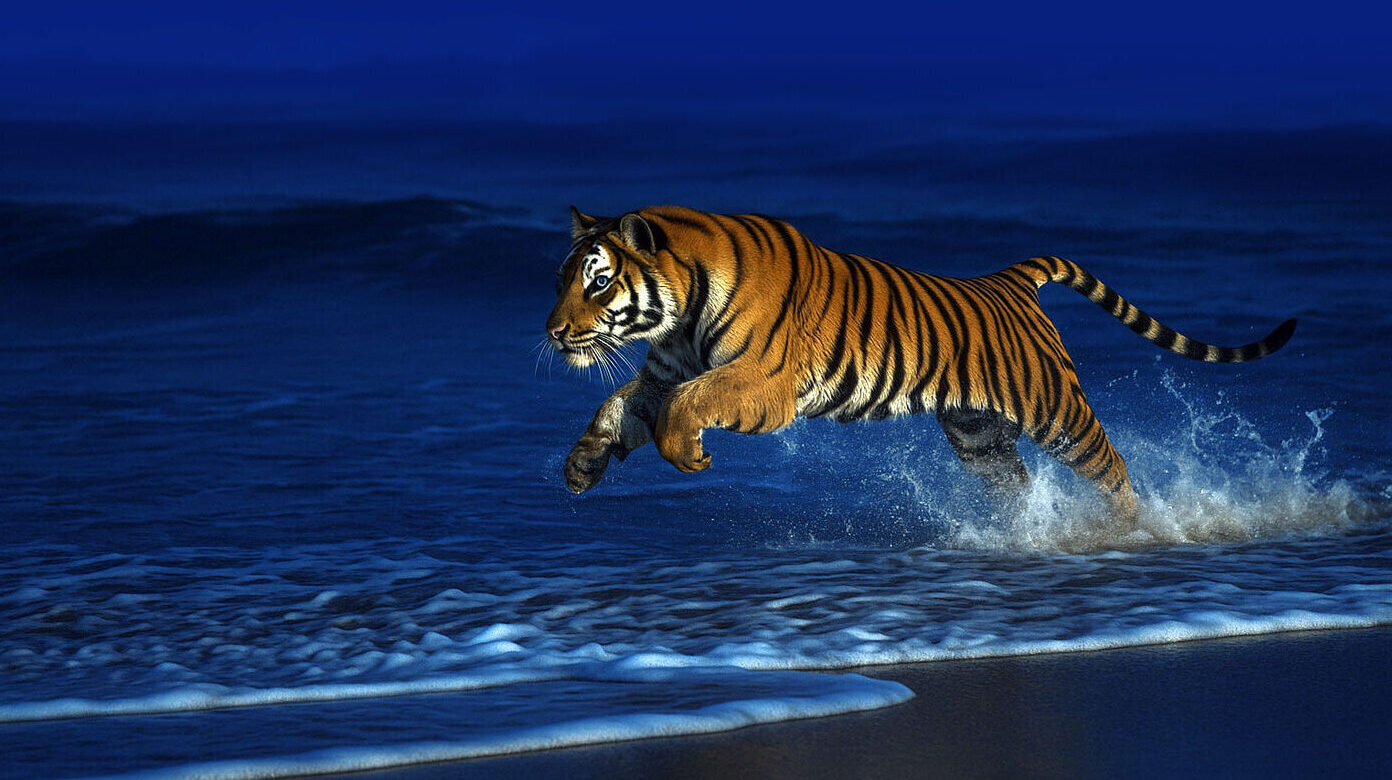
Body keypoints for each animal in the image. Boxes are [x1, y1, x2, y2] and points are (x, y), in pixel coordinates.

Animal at [544, 206, 1297, 528]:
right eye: (560, 280)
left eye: (599, 282)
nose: (553, 333)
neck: (679, 310)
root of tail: (1009, 279)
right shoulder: (663, 373)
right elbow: (616, 406)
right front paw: (581, 467)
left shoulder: (763, 383)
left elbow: (686, 406)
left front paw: (688, 455)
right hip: (979, 438)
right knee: (1017, 487)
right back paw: (1023, 536)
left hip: (1059, 414)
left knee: (1114, 469)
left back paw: (1130, 530)